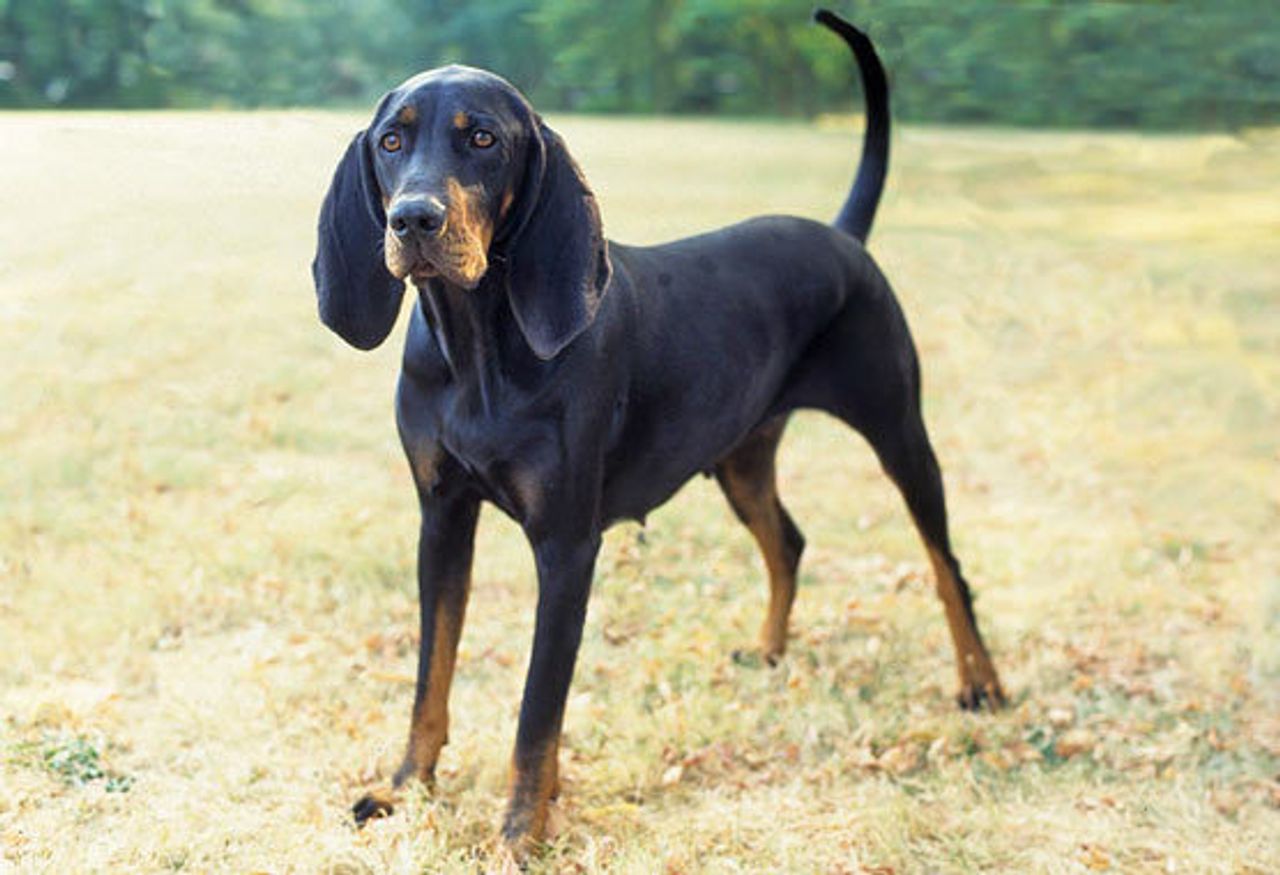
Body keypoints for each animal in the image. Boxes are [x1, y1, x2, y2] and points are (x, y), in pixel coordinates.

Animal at [314, 8, 1003, 854]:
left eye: (482, 139)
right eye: (391, 140)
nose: (413, 218)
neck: (478, 349)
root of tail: (842, 236)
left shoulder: (567, 547)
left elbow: (536, 713)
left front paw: (518, 832)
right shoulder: (441, 518)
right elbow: (430, 675)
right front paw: (406, 788)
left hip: (899, 431)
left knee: (946, 564)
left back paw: (980, 681)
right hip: (742, 456)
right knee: (788, 541)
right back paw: (769, 651)